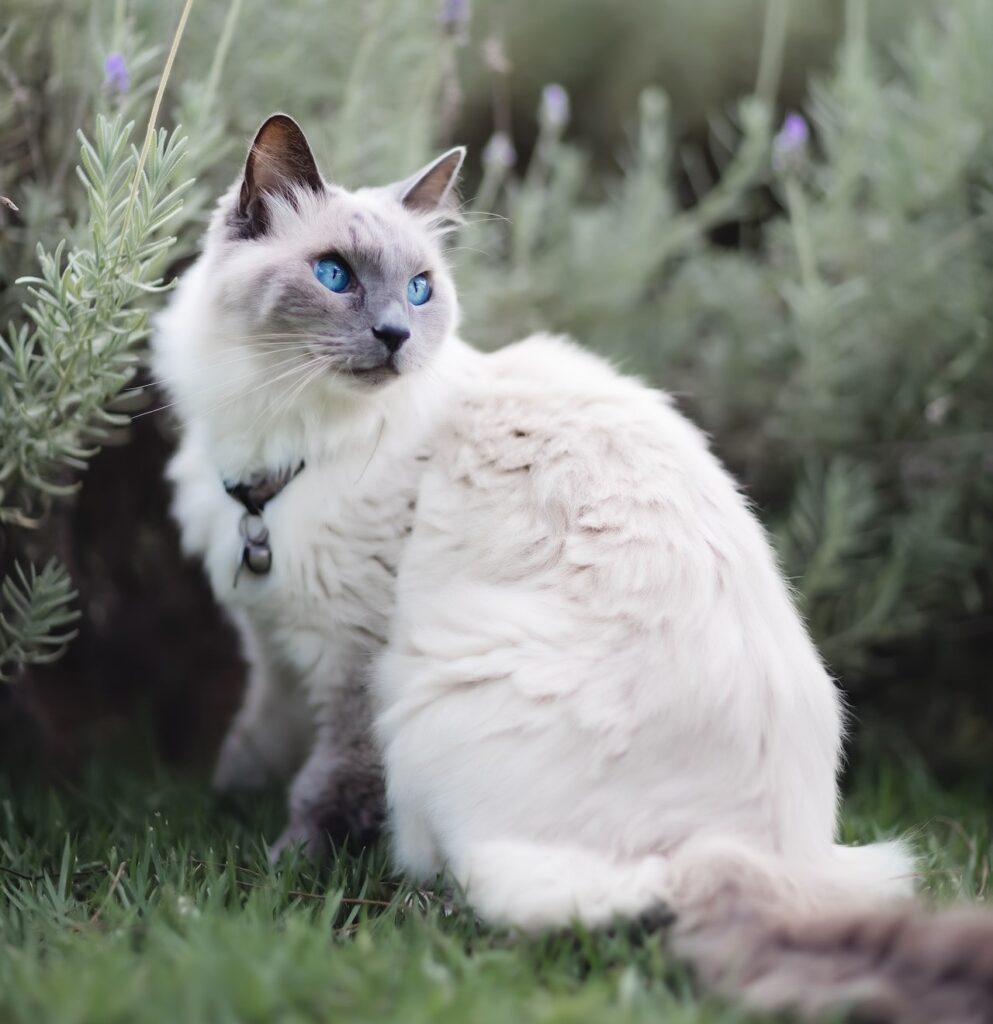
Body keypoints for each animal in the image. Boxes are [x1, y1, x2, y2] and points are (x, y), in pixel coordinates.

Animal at [154, 116, 990, 1019]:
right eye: (334, 275)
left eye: (418, 290)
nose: (396, 337)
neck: (273, 455)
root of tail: (742, 852)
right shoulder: (270, 640)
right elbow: (254, 738)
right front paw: (222, 803)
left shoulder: (353, 657)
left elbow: (325, 783)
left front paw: (282, 864)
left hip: (431, 680)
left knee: (542, 897)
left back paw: (424, 897)